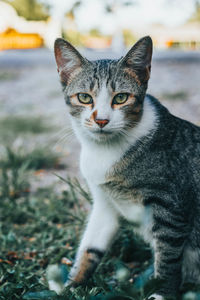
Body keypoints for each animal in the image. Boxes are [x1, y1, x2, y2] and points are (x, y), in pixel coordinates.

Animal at [52, 36, 200, 298]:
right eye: (84, 97)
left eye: (121, 98)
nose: (101, 120)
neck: (104, 151)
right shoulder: (105, 205)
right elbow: (90, 247)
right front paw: (71, 285)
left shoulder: (171, 208)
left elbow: (168, 259)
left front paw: (162, 293)